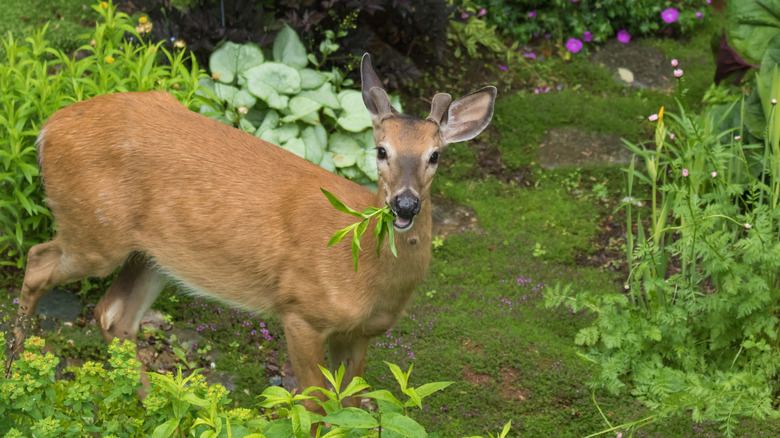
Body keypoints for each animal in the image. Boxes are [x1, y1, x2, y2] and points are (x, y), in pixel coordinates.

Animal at [12, 53, 494, 412]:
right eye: (381, 150)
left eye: (435, 155)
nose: (405, 205)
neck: (365, 272)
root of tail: (46, 128)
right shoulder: (300, 310)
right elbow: (314, 404)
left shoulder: (360, 334)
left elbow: (351, 405)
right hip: (94, 231)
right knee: (37, 262)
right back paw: (15, 366)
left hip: (154, 256)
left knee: (114, 316)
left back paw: (154, 407)